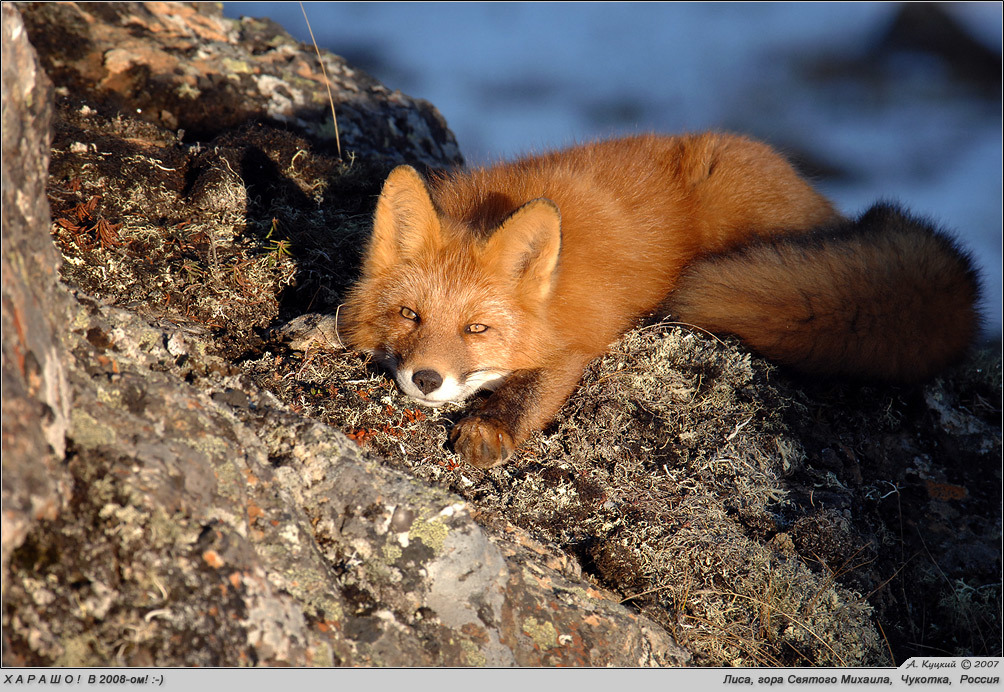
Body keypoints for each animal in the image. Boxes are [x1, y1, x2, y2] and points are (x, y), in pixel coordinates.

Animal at [339, 133, 979, 470]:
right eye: (410, 315)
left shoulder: (582, 334)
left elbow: (538, 385)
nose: (425, 379)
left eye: (477, 329)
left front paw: (492, 425)